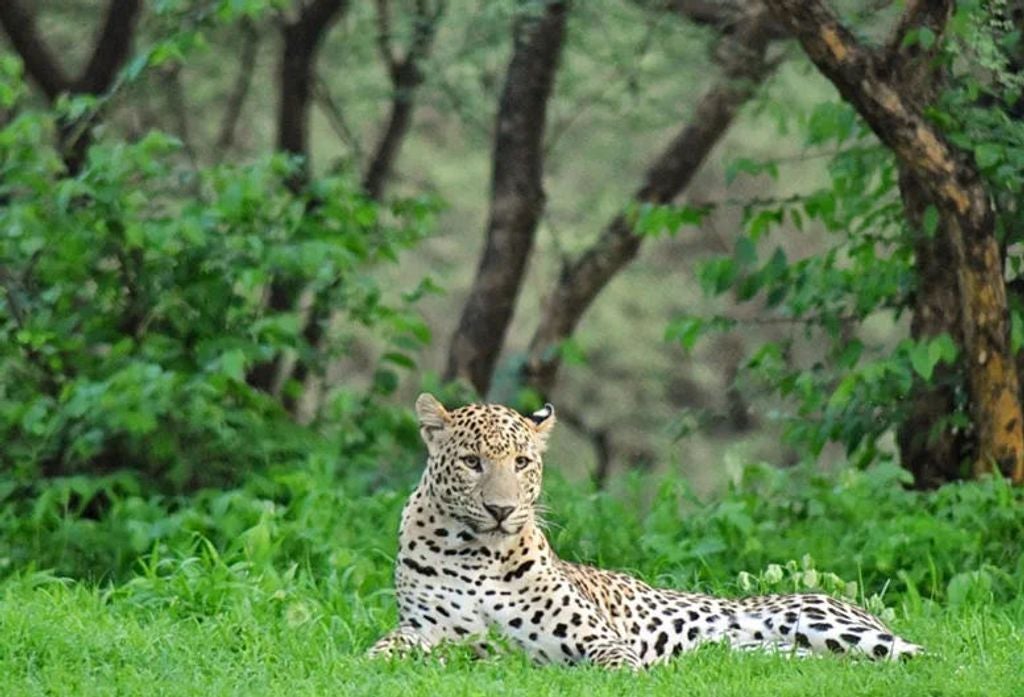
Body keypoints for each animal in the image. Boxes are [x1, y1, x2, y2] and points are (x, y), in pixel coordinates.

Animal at [366, 395, 921, 667]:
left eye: (521, 462)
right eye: (471, 462)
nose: (502, 510)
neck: (477, 553)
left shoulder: (597, 638)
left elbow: (619, 663)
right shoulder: (427, 630)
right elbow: (382, 650)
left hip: (828, 625)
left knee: (917, 655)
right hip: (778, 653)